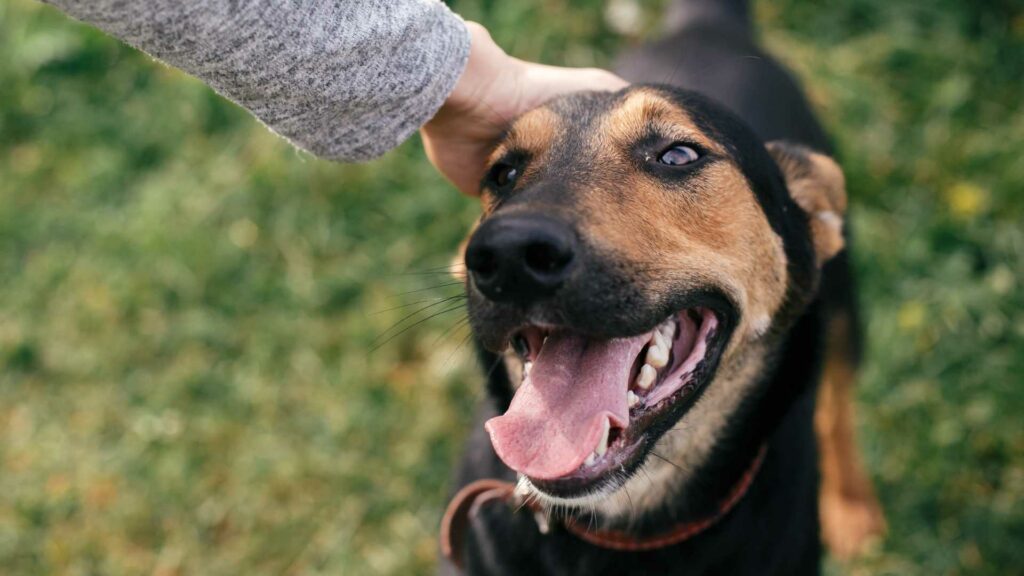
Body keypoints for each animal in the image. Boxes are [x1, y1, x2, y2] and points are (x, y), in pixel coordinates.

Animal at [442, 2, 888, 569]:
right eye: (503, 174)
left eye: (678, 155)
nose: (507, 254)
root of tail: (707, 24)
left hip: (843, 310)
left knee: (837, 405)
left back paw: (852, 507)